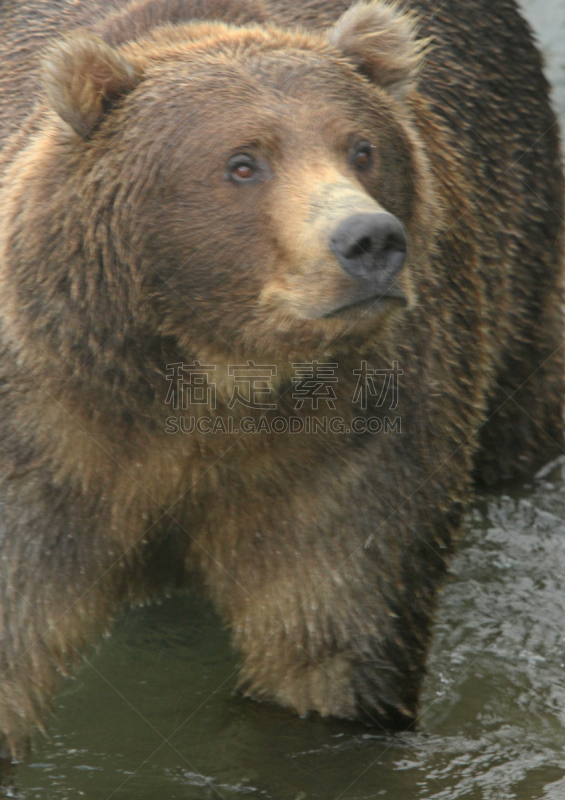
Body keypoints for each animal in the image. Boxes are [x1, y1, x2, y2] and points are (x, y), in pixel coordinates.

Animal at [0, 0, 560, 764]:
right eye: (242, 162)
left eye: (361, 148)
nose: (369, 240)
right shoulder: (50, 437)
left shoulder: (348, 448)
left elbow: (327, 638)